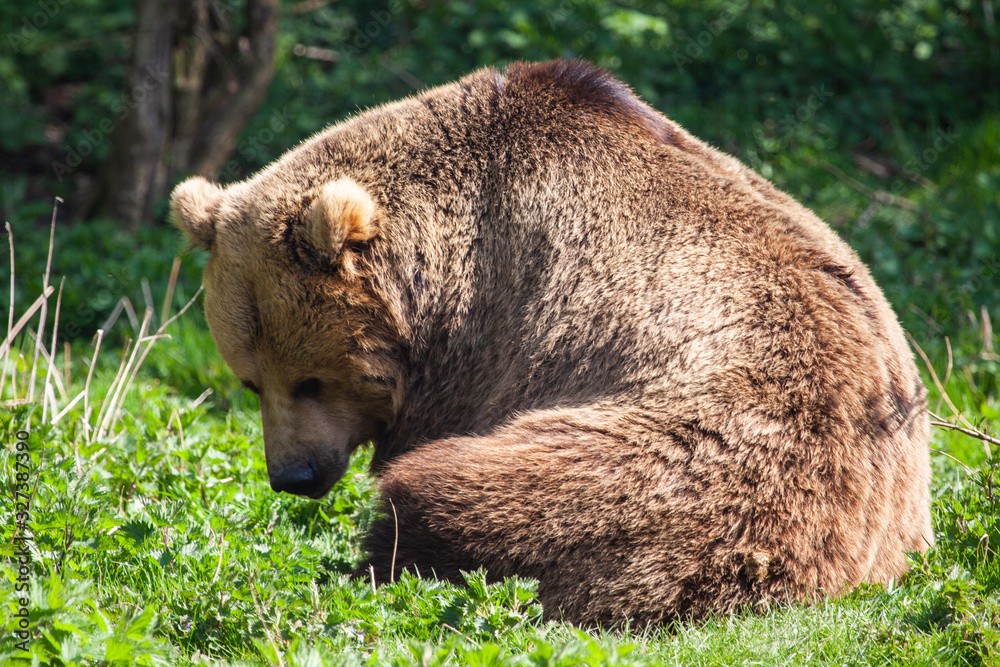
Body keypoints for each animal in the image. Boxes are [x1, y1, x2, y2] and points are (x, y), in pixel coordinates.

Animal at [169, 60, 933, 626]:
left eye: (312, 378)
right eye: (249, 380)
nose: (293, 476)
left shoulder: (491, 334)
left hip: (699, 460)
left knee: (480, 496)